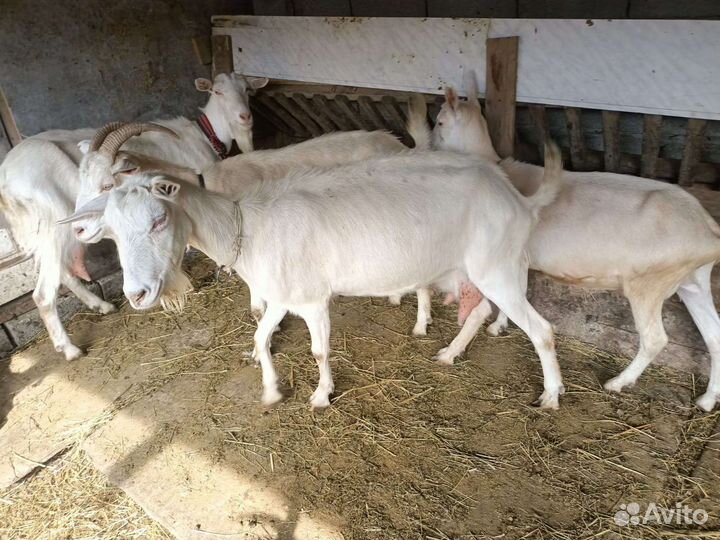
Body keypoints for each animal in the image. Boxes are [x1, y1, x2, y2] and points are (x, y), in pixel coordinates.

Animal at [0, 73, 266, 360]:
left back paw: (101, 306)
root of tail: (6, 182)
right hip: (53, 228)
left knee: (63, 273)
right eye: (218, 91)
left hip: (47, 234)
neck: (201, 136)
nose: (245, 117)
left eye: (247, 89)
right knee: (43, 293)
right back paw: (69, 348)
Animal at [61, 148, 566, 409]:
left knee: (541, 329)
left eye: (158, 220)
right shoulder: (281, 296)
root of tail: (520, 200)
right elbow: (261, 337)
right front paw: (271, 390)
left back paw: (550, 395)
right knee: (480, 310)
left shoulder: (310, 298)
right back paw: (448, 353)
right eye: (112, 230)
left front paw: (322, 394)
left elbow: (319, 349)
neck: (248, 226)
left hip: (498, 266)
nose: (137, 294)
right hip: (479, 269)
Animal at [409, 71, 720, 412]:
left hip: (649, 284)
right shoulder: (521, 260)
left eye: (439, 122)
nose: (427, 150)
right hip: (693, 281)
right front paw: (499, 326)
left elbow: (484, 307)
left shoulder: (503, 258)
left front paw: (451, 352)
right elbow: (519, 294)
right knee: (714, 336)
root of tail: (708, 229)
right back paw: (707, 399)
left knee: (654, 339)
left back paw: (618, 382)